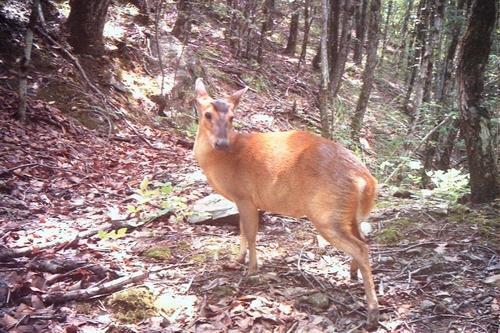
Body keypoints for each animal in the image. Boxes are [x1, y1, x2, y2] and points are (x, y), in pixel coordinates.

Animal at [194, 78, 378, 330]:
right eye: (207, 114)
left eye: (232, 117)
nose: (221, 143)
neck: (223, 160)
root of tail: (366, 181)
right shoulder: (244, 200)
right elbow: (241, 230)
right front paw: (236, 261)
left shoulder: (245, 196)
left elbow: (250, 233)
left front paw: (251, 270)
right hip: (347, 215)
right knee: (363, 240)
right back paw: (352, 275)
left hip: (326, 214)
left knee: (362, 248)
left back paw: (372, 312)